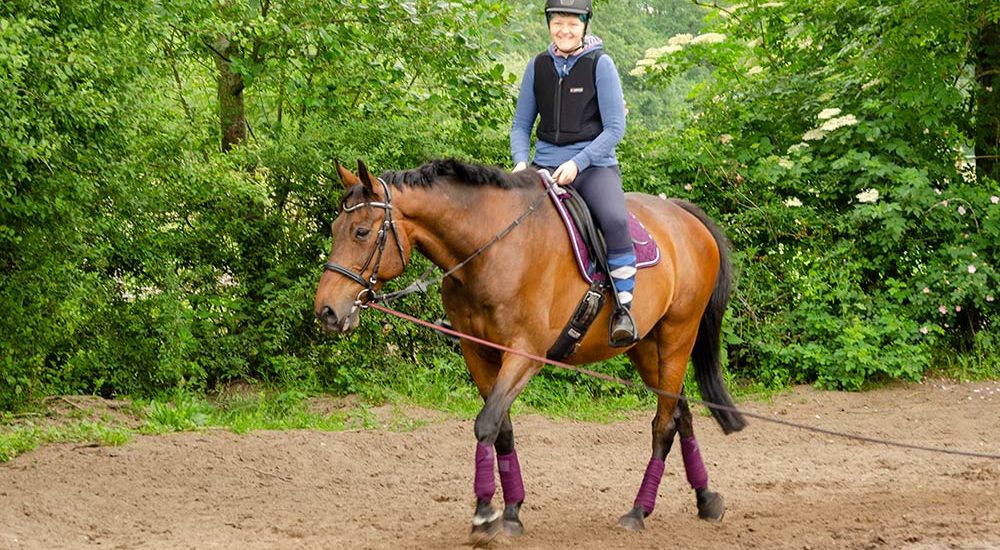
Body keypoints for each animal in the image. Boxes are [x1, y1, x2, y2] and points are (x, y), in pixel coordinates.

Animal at [316, 160, 748, 548]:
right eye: (335, 229)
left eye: (361, 231)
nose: (327, 311)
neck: (490, 248)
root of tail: (682, 214)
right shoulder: (478, 353)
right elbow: (502, 428)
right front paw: (510, 513)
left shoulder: (524, 353)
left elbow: (487, 423)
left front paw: (485, 515)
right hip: (644, 346)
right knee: (680, 413)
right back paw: (706, 500)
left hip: (678, 335)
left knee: (663, 424)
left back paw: (639, 511)